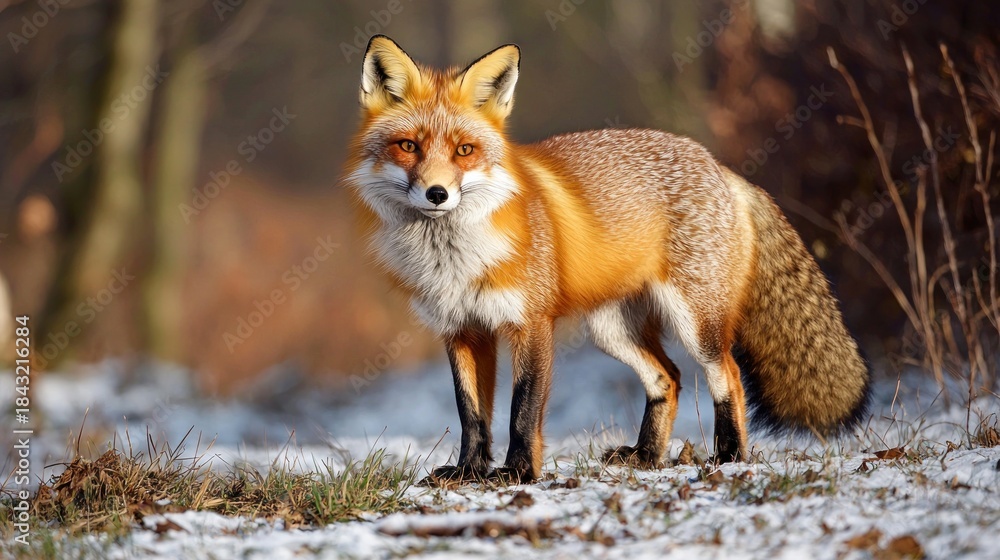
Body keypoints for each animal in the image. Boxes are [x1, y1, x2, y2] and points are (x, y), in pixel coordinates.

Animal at [344, 35, 870, 483]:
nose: (437, 194)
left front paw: (517, 473)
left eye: (464, 150)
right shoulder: (461, 329)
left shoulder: (530, 323)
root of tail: (718, 166)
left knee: (729, 377)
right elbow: (471, 413)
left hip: (695, 321)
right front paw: (468, 473)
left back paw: (729, 456)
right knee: (669, 378)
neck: (454, 260)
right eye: (408, 146)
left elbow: (521, 410)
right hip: (612, 329)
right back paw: (646, 456)